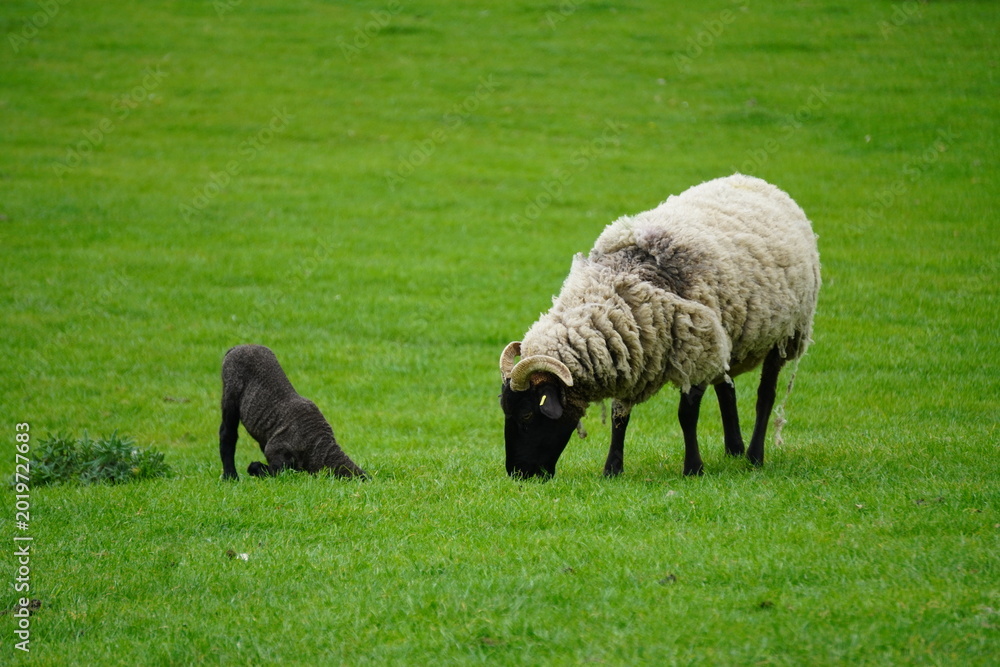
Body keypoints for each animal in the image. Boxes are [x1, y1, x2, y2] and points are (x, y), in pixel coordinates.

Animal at [219, 344, 366, 480]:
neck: (316, 445)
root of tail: (237, 348)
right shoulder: (275, 451)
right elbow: (270, 471)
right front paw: (252, 468)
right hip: (230, 393)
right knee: (227, 433)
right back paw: (230, 476)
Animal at [499, 173, 820, 478]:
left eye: (527, 414)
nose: (518, 474)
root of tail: (754, 180)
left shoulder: (695, 352)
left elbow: (686, 414)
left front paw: (693, 468)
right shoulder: (629, 349)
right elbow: (619, 415)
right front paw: (612, 469)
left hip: (785, 334)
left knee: (765, 396)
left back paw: (754, 456)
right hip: (725, 337)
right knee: (726, 389)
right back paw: (734, 449)